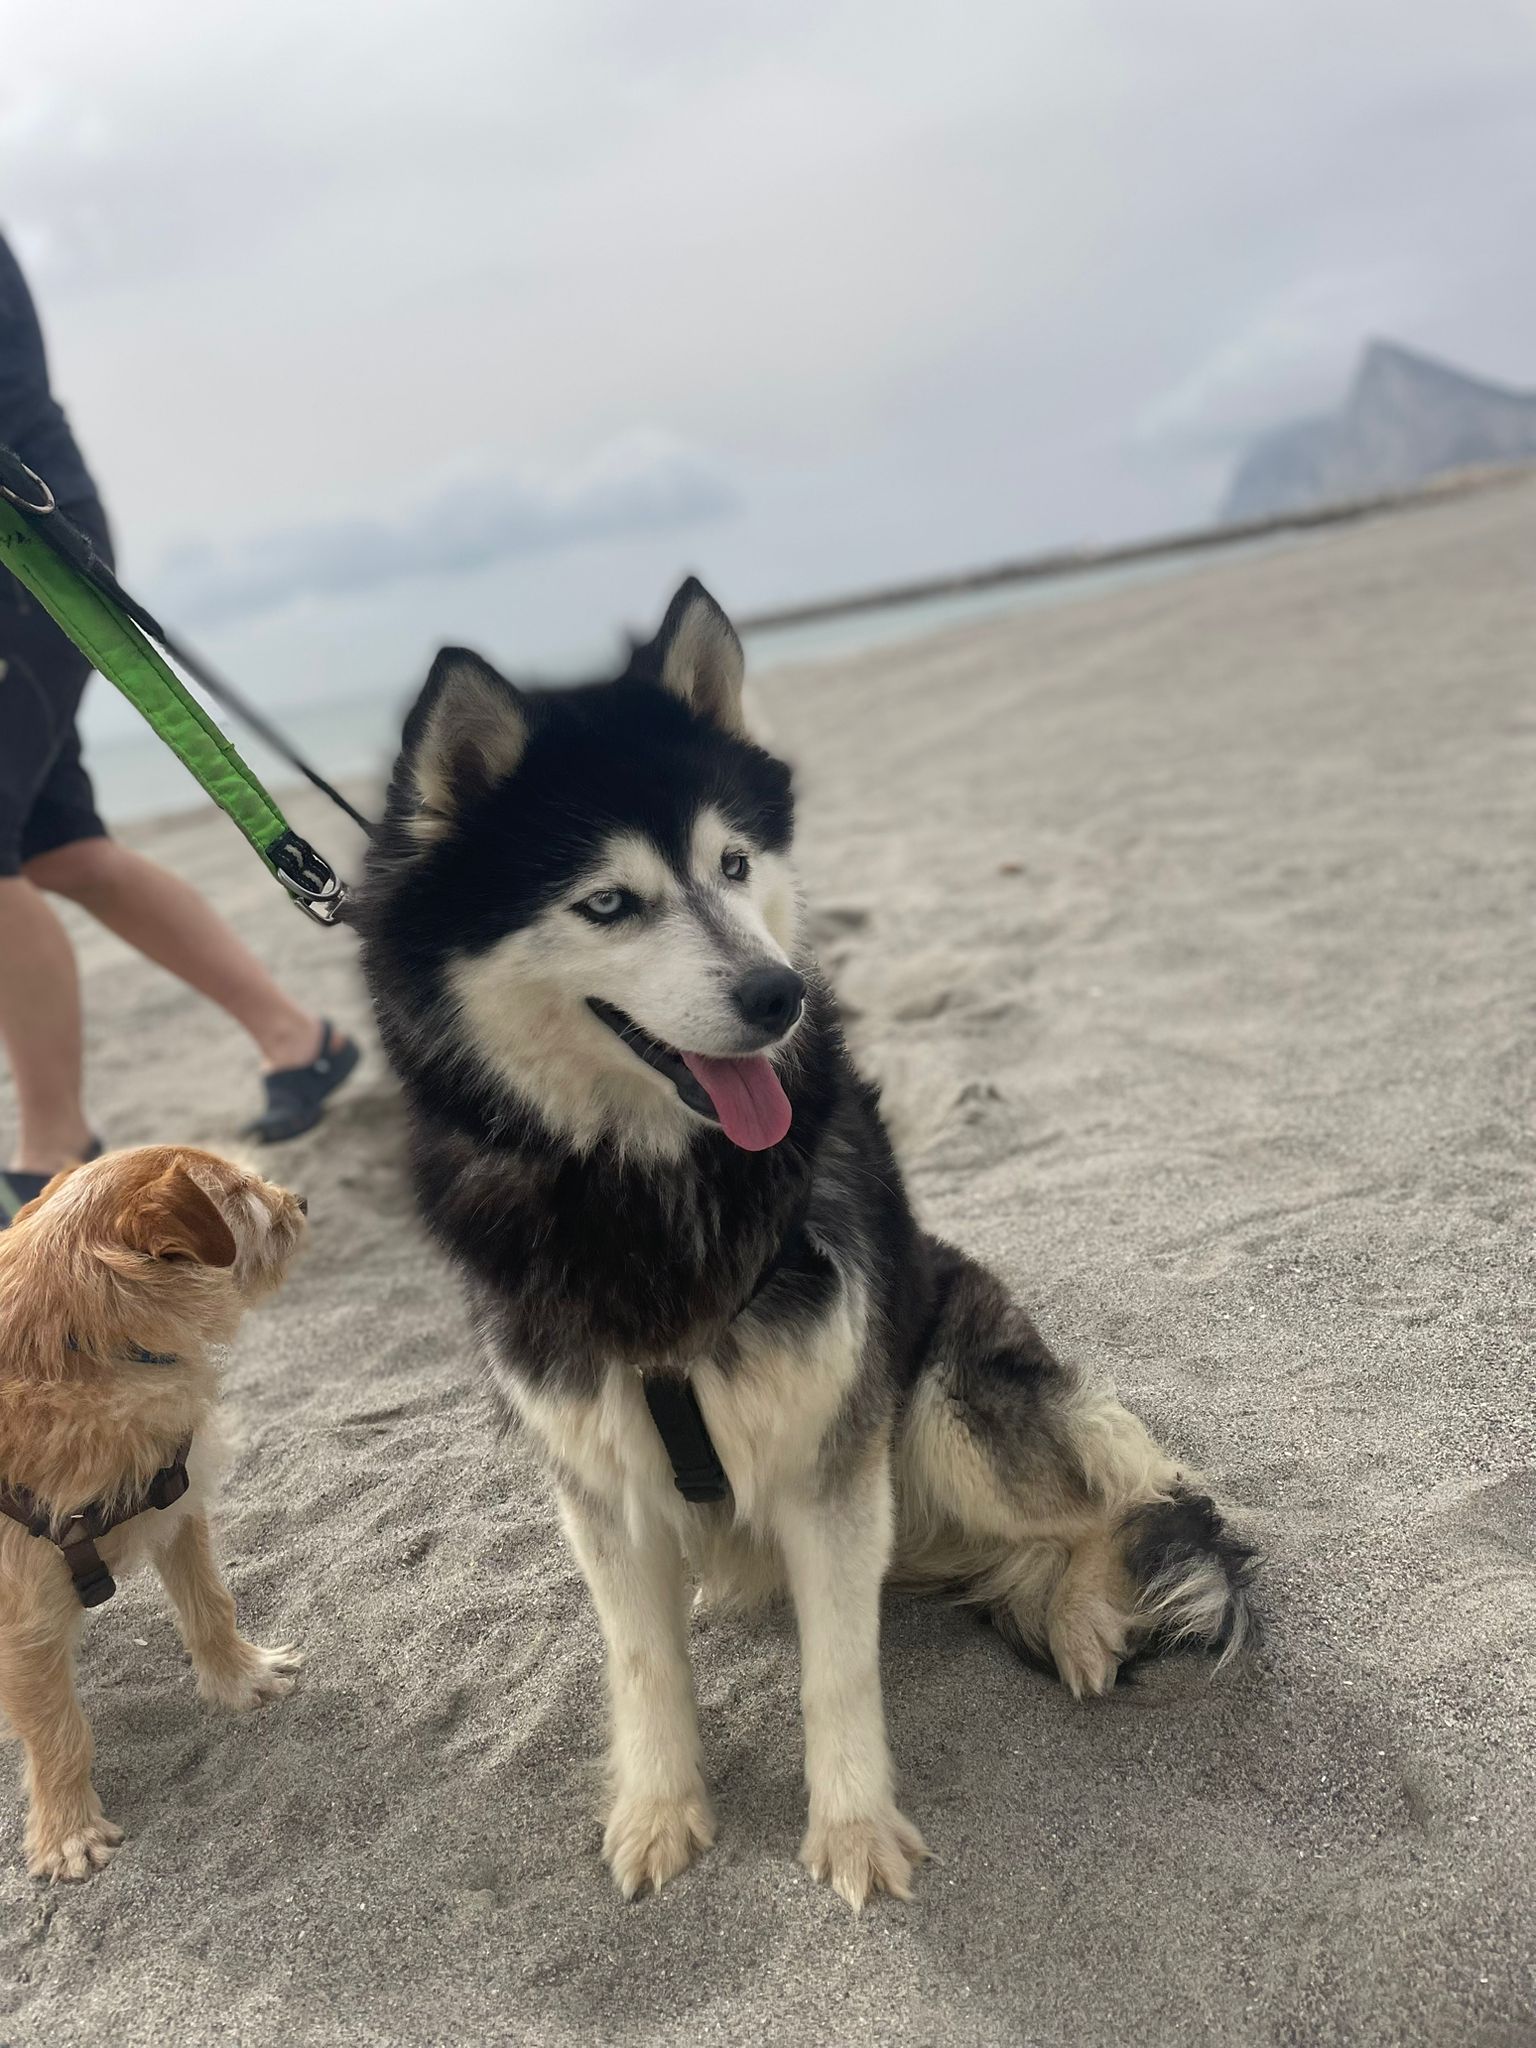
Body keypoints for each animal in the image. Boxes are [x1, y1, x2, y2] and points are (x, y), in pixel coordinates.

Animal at [0, 1145, 307, 1881]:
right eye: (241, 1192)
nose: (301, 1202)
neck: (79, 1344)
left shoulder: (177, 1503)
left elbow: (211, 1605)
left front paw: (240, 1679)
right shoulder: (21, 1617)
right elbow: (56, 1728)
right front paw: (69, 1832)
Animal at [359, 577, 1258, 1910]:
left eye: (734, 863)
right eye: (608, 901)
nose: (778, 994)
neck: (651, 1190)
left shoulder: (833, 1450)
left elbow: (842, 1666)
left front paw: (854, 1829)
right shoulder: (601, 1479)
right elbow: (641, 1661)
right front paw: (661, 1810)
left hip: (939, 1395)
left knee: (1137, 1492)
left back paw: (1088, 1608)